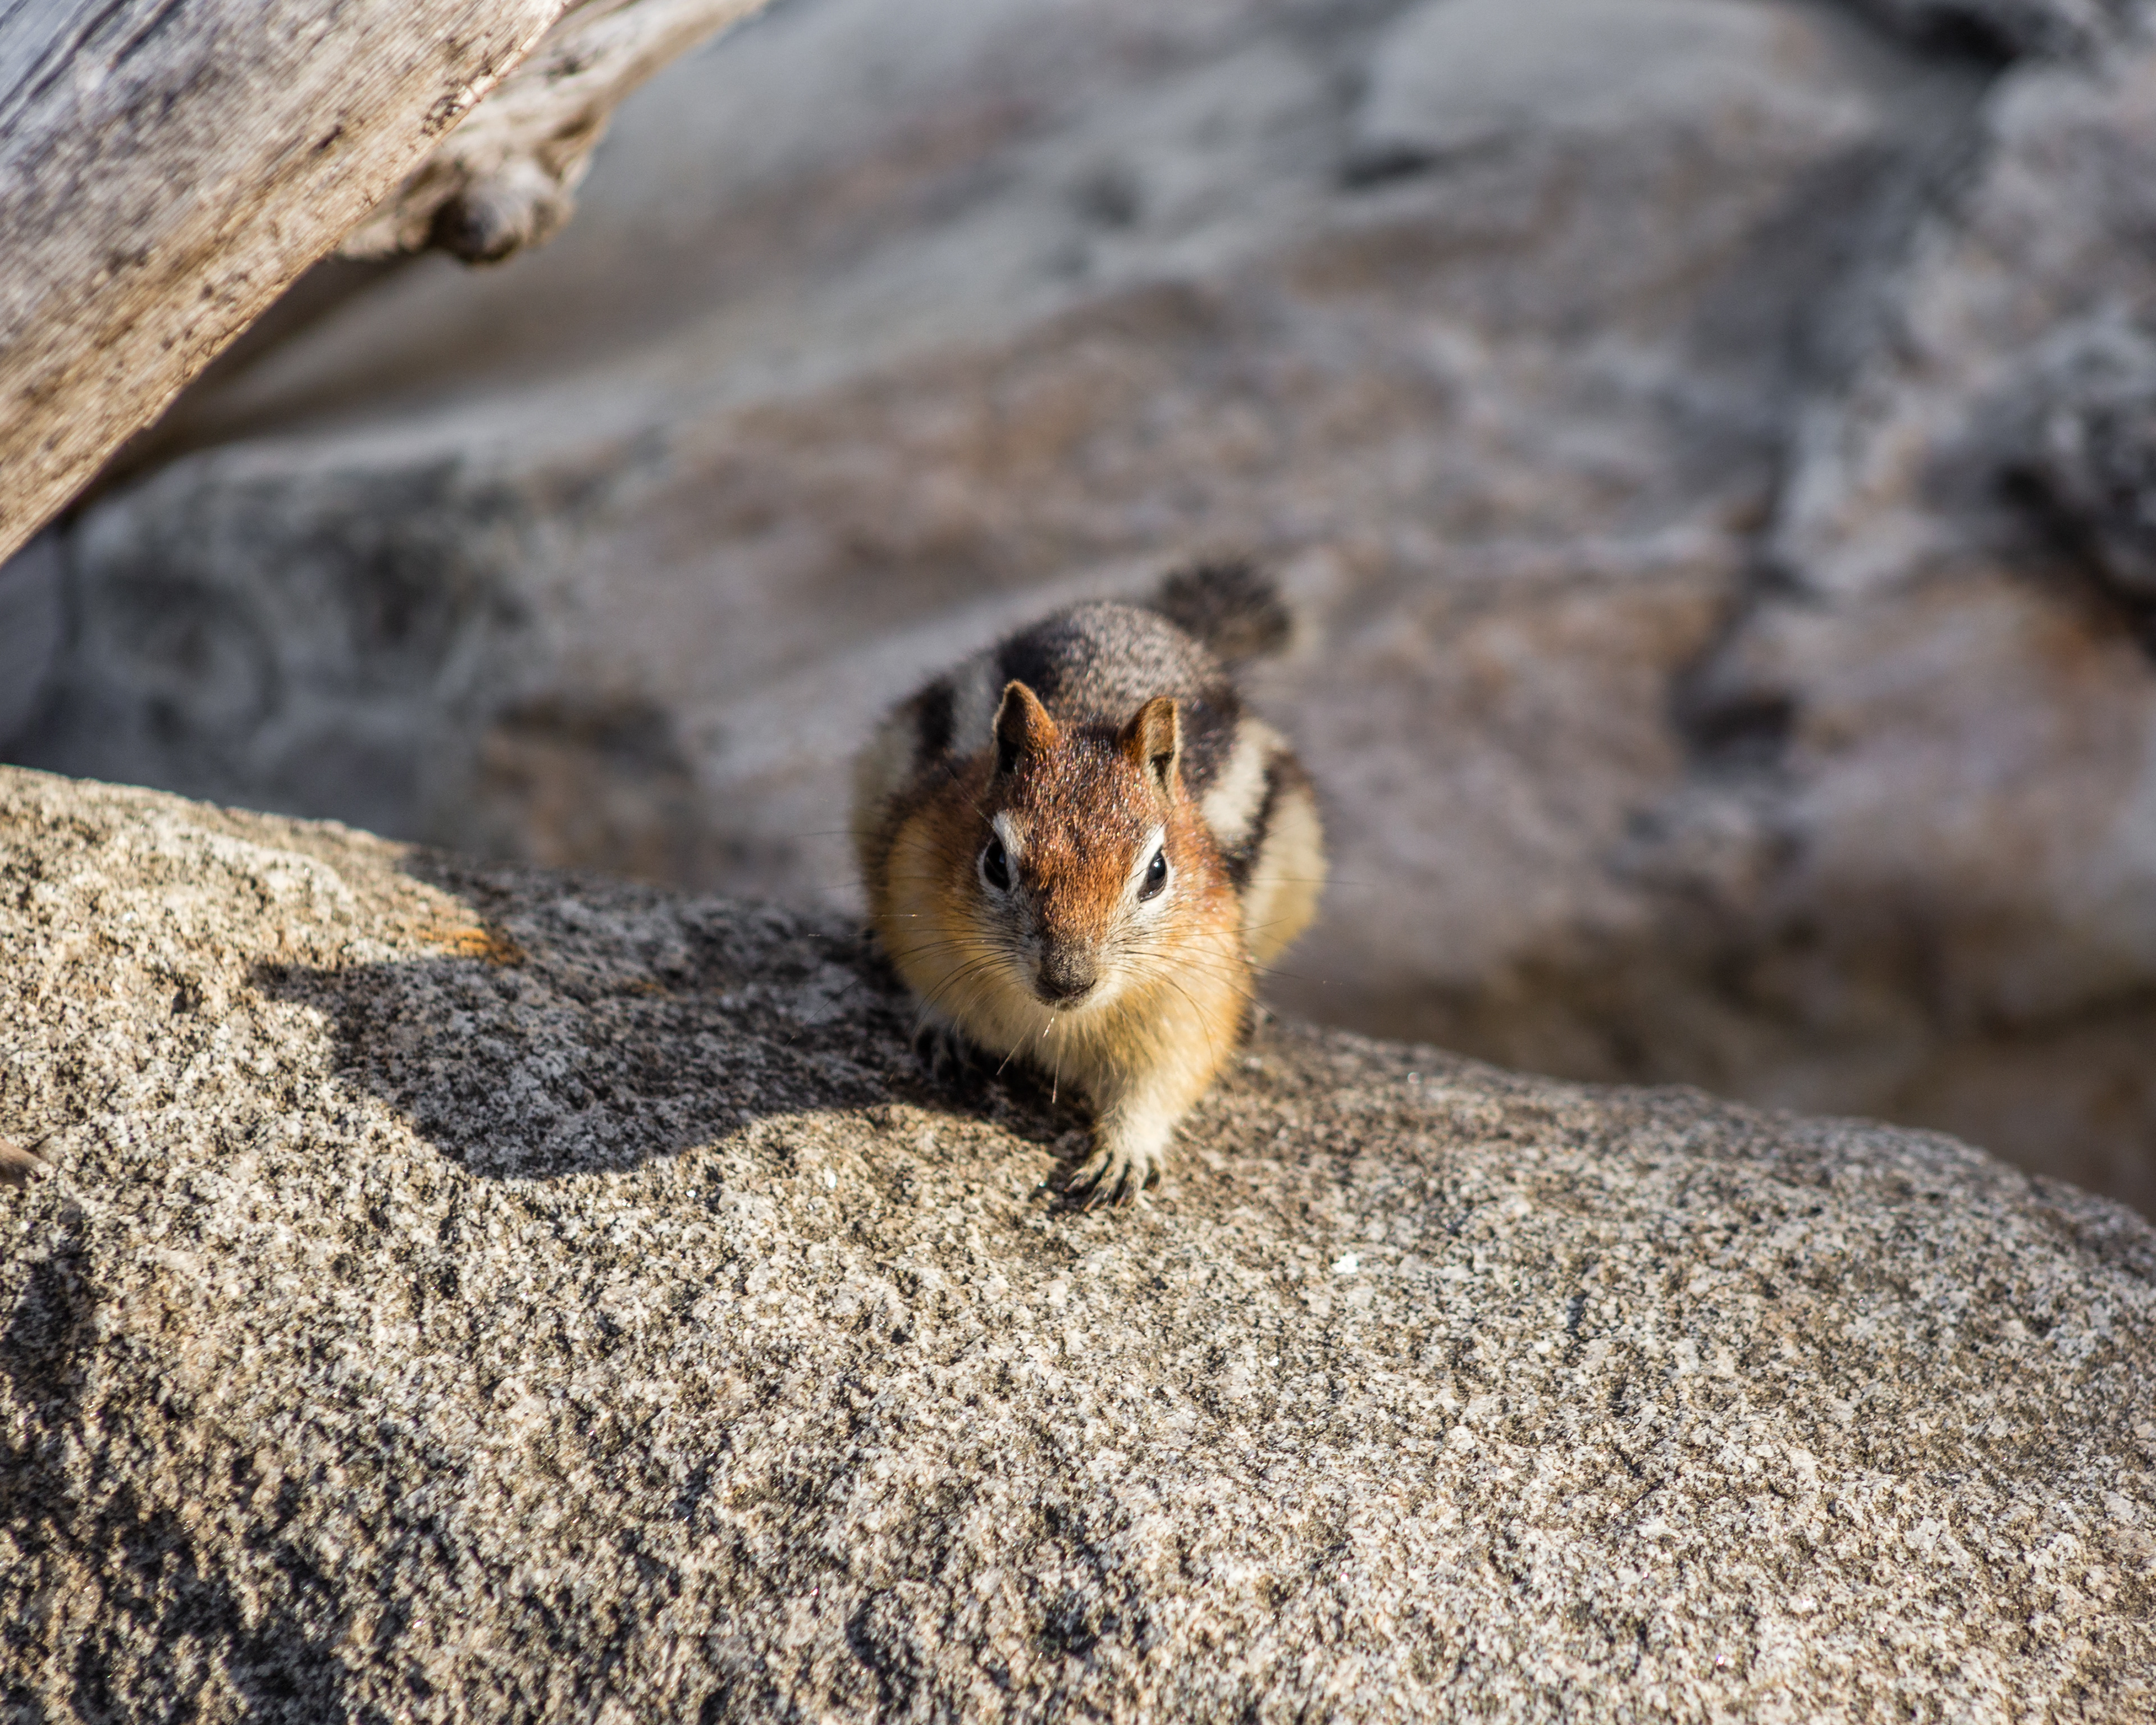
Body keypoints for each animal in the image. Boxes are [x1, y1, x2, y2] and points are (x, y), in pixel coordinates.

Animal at [852, 561, 1325, 1205]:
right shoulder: (913, 877)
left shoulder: (1193, 991)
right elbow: (926, 979)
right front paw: (944, 1029)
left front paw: (1125, 1153)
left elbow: (1163, 1082)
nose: (1067, 980)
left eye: (1157, 873)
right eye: (995, 861)